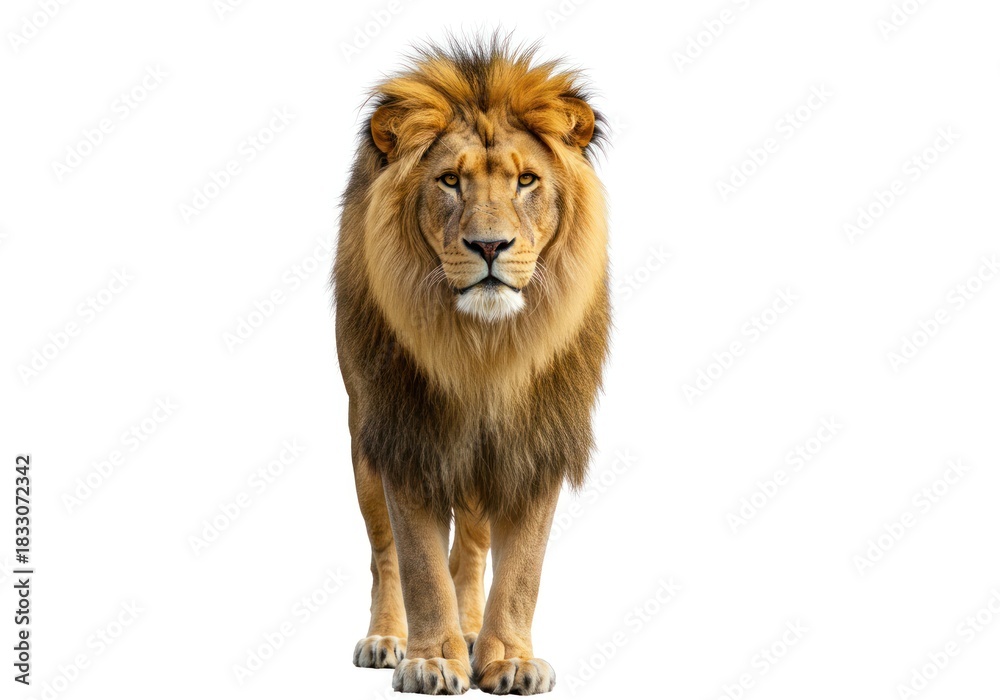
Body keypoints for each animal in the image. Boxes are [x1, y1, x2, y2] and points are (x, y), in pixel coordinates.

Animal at [333, 36, 610, 695]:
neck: (483, 350)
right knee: (383, 552)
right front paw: (432, 660)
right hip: (362, 438)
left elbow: (522, 569)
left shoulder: (535, 443)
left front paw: (506, 656)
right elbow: (418, 564)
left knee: (474, 547)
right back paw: (389, 639)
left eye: (527, 180)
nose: (489, 246)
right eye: (450, 181)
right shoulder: (406, 435)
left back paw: (472, 630)